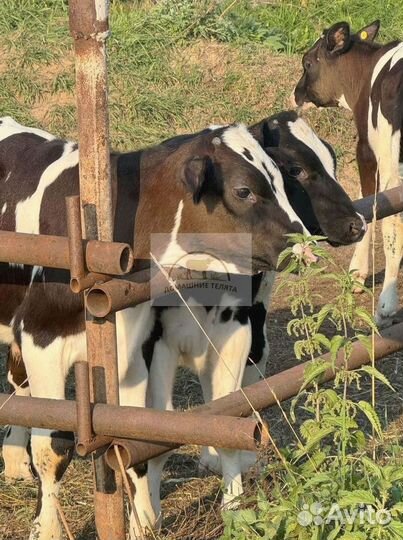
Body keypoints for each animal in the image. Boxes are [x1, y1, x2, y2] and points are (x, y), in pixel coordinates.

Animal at [0, 115, 364, 540]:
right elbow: (53, 447)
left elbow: (142, 432)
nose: (301, 246)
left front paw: (145, 521)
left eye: (279, 176)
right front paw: (48, 528)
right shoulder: (42, 338)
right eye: (244, 190)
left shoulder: (137, 347)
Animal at [294, 19, 403, 324]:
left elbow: (372, 208)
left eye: (308, 62)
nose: (296, 93)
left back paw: (386, 304)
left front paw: (356, 273)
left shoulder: (366, 151)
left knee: (394, 228)